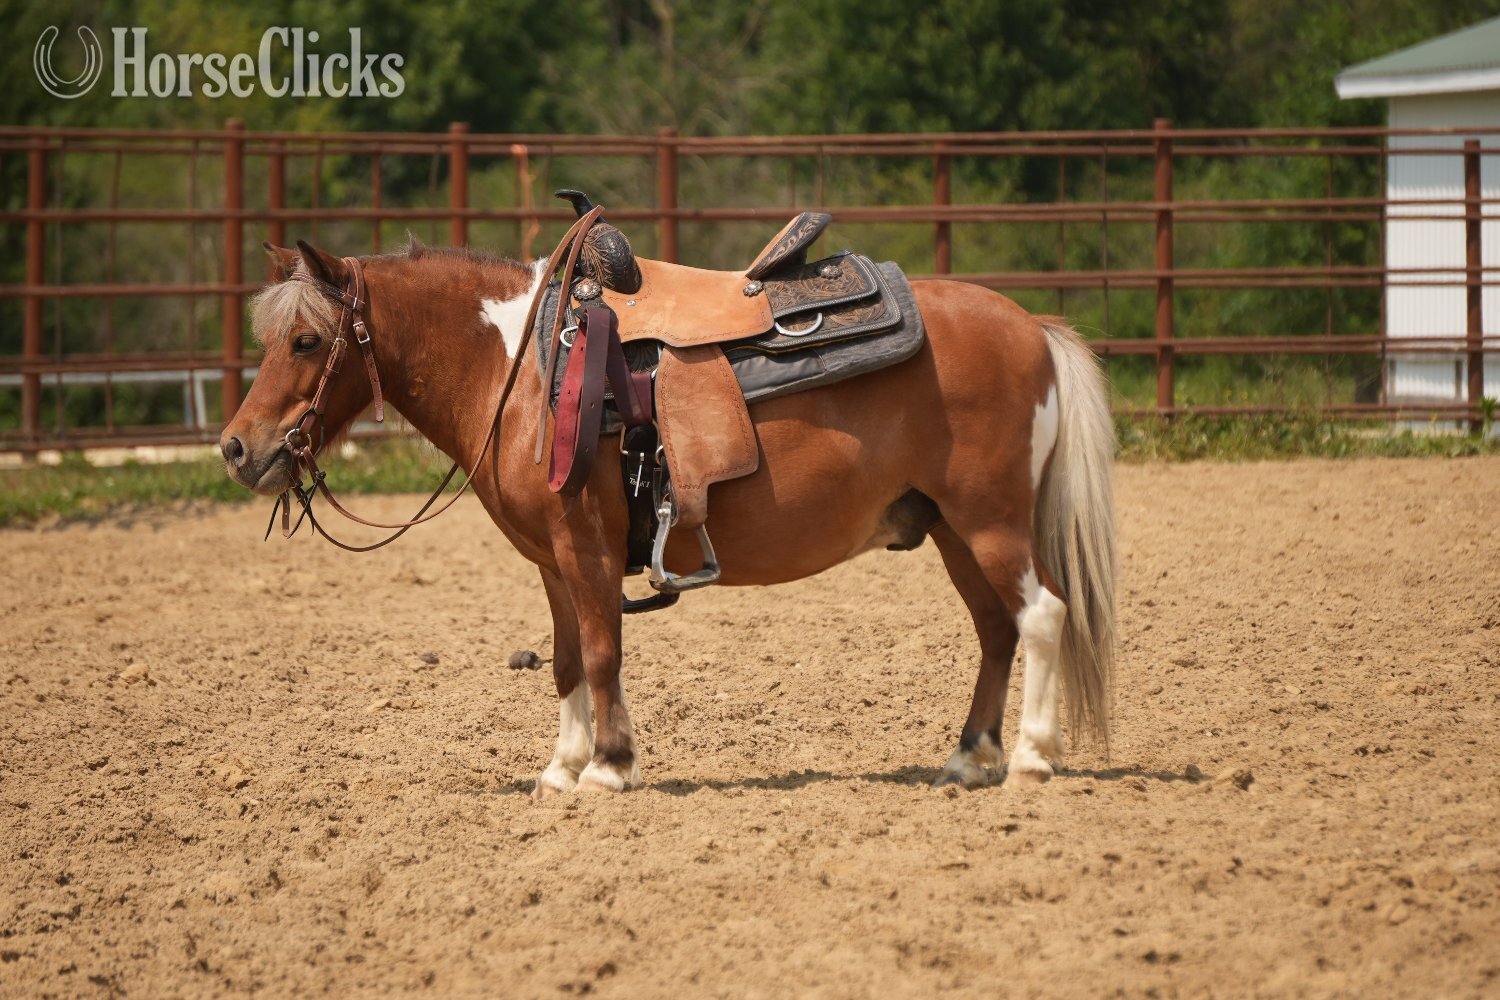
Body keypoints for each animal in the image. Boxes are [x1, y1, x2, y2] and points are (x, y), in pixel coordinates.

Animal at [221, 235, 1117, 796]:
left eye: (306, 341)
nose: (236, 447)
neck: (523, 371)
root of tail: (1030, 327)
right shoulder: (552, 563)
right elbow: (566, 661)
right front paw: (561, 768)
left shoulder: (586, 548)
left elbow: (603, 653)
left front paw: (609, 767)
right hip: (955, 530)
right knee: (997, 629)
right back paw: (968, 758)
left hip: (991, 522)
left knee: (1042, 615)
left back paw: (1031, 759)